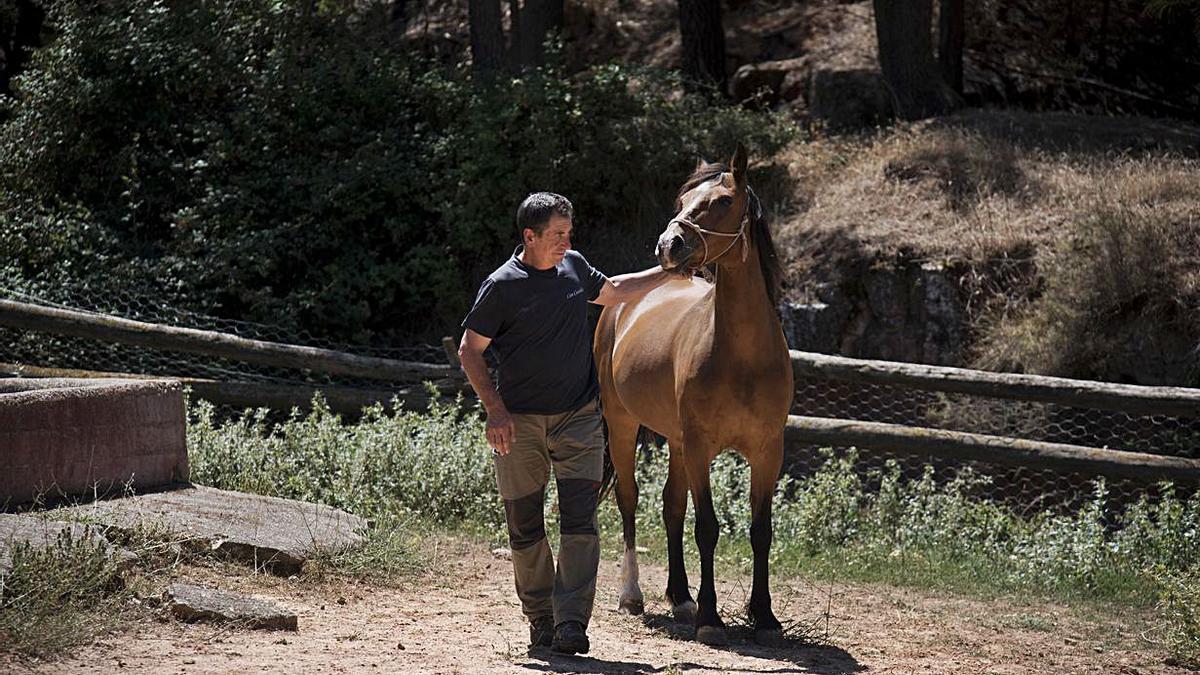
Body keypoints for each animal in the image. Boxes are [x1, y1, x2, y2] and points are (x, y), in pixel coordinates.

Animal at [592, 142, 796, 648]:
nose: (670, 246)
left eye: (722, 201)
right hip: (624, 426)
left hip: (678, 441)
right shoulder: (703, 447)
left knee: (670, 507)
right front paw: (711, 618)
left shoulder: (768, 450)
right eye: (682, 202)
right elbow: (707, 527)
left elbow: (760, 530)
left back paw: (680, 596)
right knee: (630, 500)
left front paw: (764, 616)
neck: (741, 355)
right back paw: (633, 595)